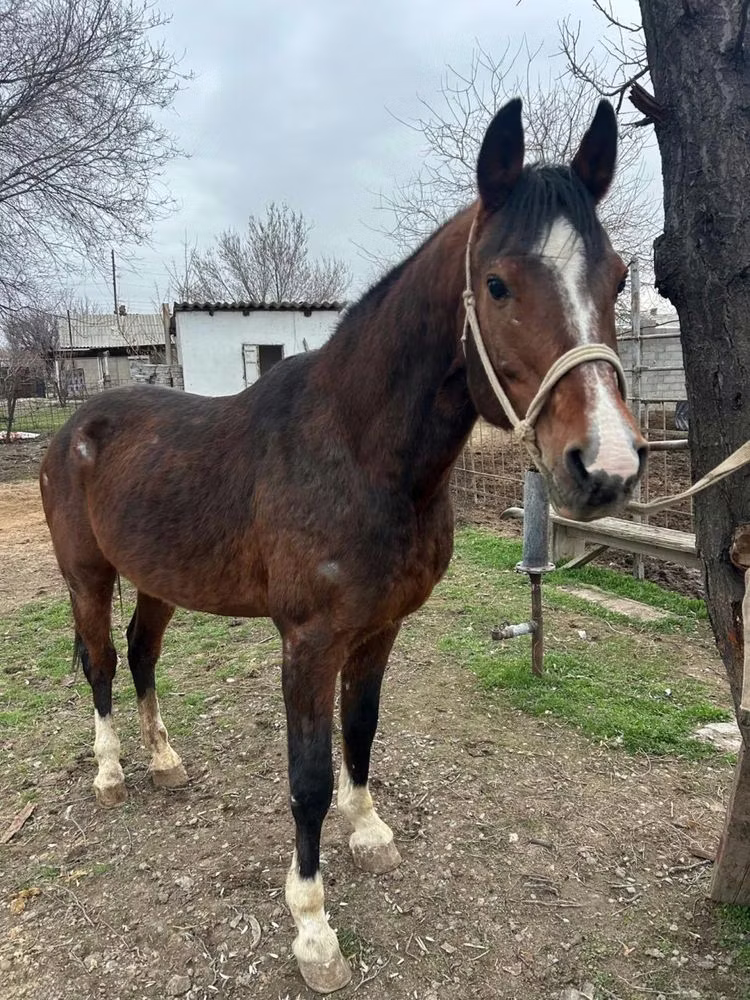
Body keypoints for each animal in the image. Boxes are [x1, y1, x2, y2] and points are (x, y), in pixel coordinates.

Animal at [40, 98, 646, 993]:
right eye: (498, 283)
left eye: (618, 279)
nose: (605, 467)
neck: (359, 453)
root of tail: (74, 428)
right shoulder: (308, 643)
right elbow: (308, 780)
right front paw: (313, 930)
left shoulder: (380, 629)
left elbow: (359, 734)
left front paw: (370, 834)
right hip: (88, 575)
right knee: (102, 662)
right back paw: (113, 773)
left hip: (157, 580)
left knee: (142, 652)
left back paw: (165, 762)